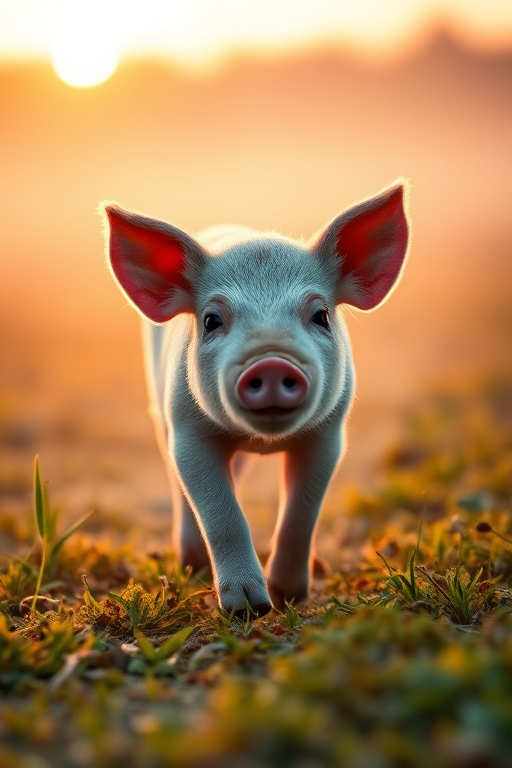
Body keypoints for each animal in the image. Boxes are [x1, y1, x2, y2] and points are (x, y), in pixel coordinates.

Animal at [101, 180, 410, 618]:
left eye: (321, 315)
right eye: (211, 320)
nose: (271, 360)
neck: (265, 440)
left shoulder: (329, 434)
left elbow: (301, 514)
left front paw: (288, 598)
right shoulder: (187, 430)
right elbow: (221, 513)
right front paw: (248, 608)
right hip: (159, 415)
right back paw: (191, 563)